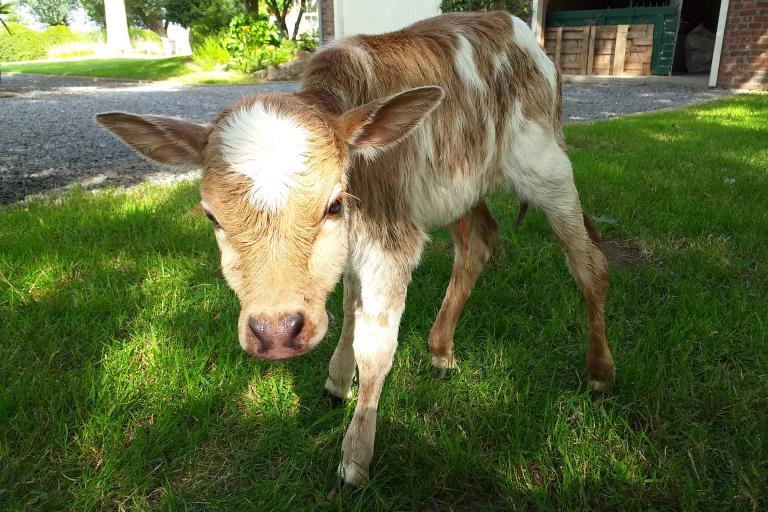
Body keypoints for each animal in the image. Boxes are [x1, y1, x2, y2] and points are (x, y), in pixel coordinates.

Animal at [97, 10, 612, 486]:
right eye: (212, 216)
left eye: (333, 204)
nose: (276, 332)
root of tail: (513, 25)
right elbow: (347, 306)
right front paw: (336, 382)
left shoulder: (392, 239)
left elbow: (375, 343)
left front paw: (355, 457)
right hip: (457, 185)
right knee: (480, 239)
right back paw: (441, 350)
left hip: (546, 163)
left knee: (590, 262)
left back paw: (600, 371)